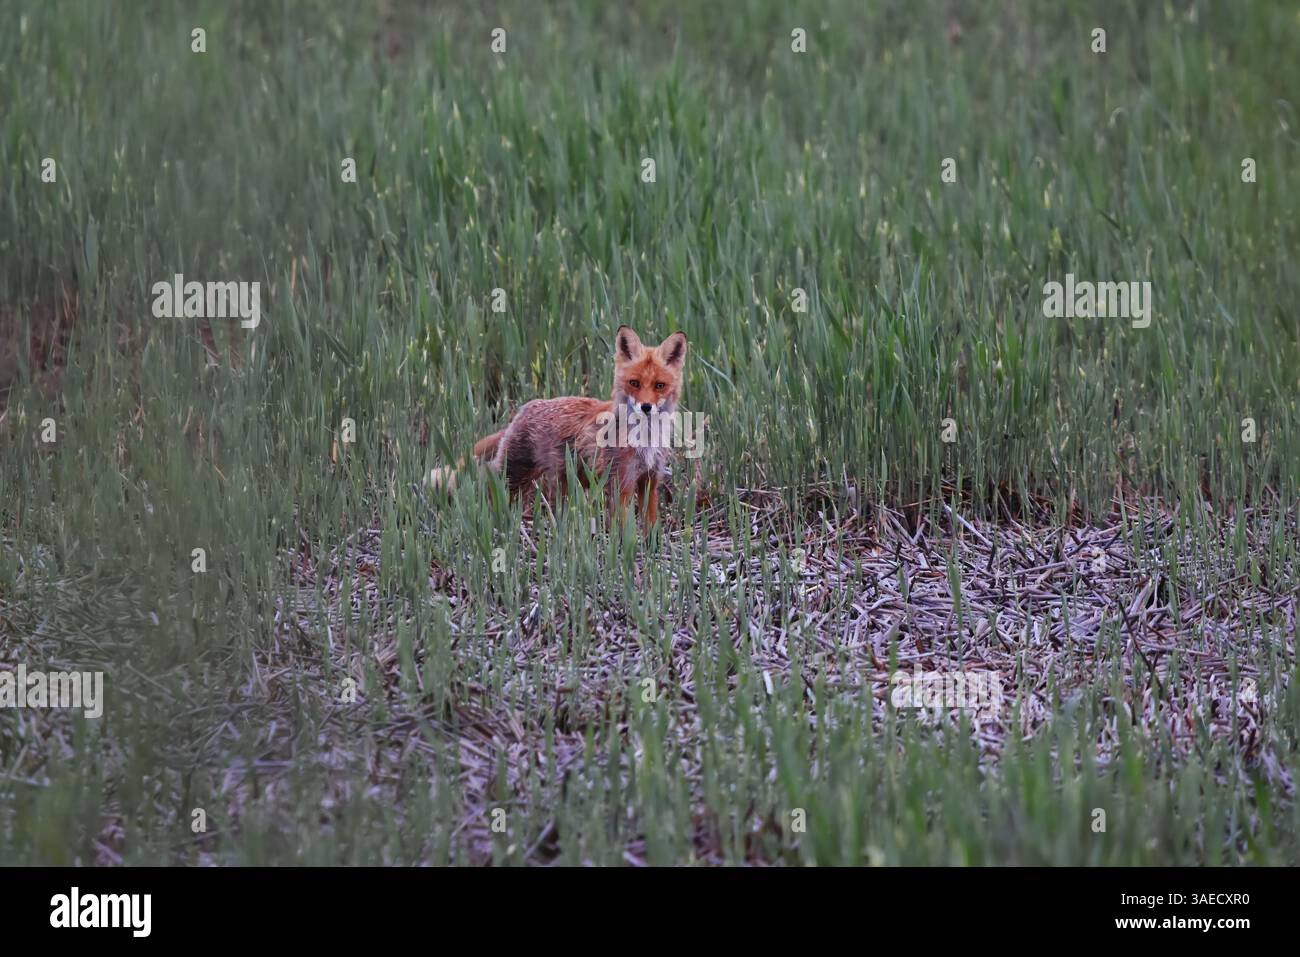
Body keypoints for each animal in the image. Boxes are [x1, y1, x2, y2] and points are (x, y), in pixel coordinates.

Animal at [429, 326, 689, 533]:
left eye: (659, 385)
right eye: (634, 383)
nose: (646, 407)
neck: (645, 439)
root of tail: (526, 408)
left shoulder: (649, 479)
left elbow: (650, 522)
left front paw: (651, 546)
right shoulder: (621, 482)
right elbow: (624, 526)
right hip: (513, 475)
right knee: (488, 486)